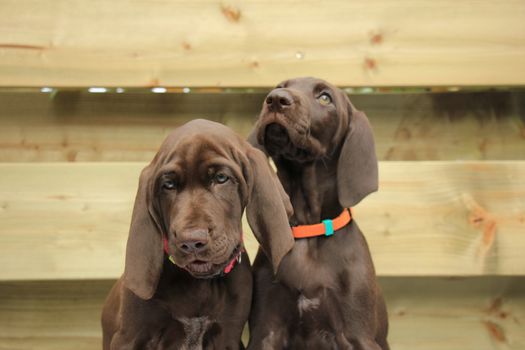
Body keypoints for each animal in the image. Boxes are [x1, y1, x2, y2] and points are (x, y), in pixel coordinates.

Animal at [100, 119, 292, 350]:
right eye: (168, 185)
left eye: (221, 178)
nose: (191, 242)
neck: (200, 285)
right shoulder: (130, 337)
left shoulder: (227, 336)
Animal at [248, 78, 386, 350]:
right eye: (279, 86)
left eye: (325, 98)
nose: (276, 99)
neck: (308, 228)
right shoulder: (266, 331)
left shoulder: (357, 335)